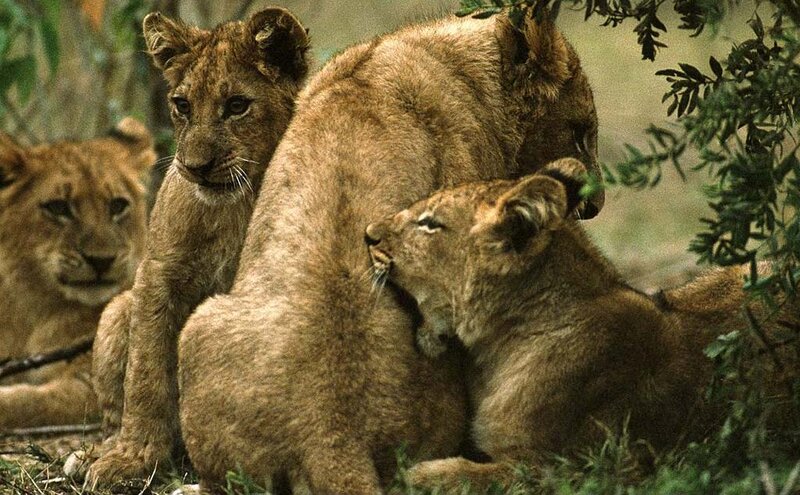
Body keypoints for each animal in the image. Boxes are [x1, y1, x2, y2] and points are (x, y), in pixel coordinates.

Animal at [0, 118, 154, 429]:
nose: (101, 260)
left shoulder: (92, 384)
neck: (34, 312)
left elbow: (31, 401)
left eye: (117, 205)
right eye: (58, 207)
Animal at [84, 7, 310, 484]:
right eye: (182, 105)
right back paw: (96, 451)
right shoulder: (158, 275)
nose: (195, 167)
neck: (231, 208)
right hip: (116, 311)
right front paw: (133, 457)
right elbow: (146, 372)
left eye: (237, 106)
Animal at [364, 158, 799, 492]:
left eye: (430, 224)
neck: (501, 346)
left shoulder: (587, 468)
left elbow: (477, 477)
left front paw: (412, 475)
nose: (368, 235)